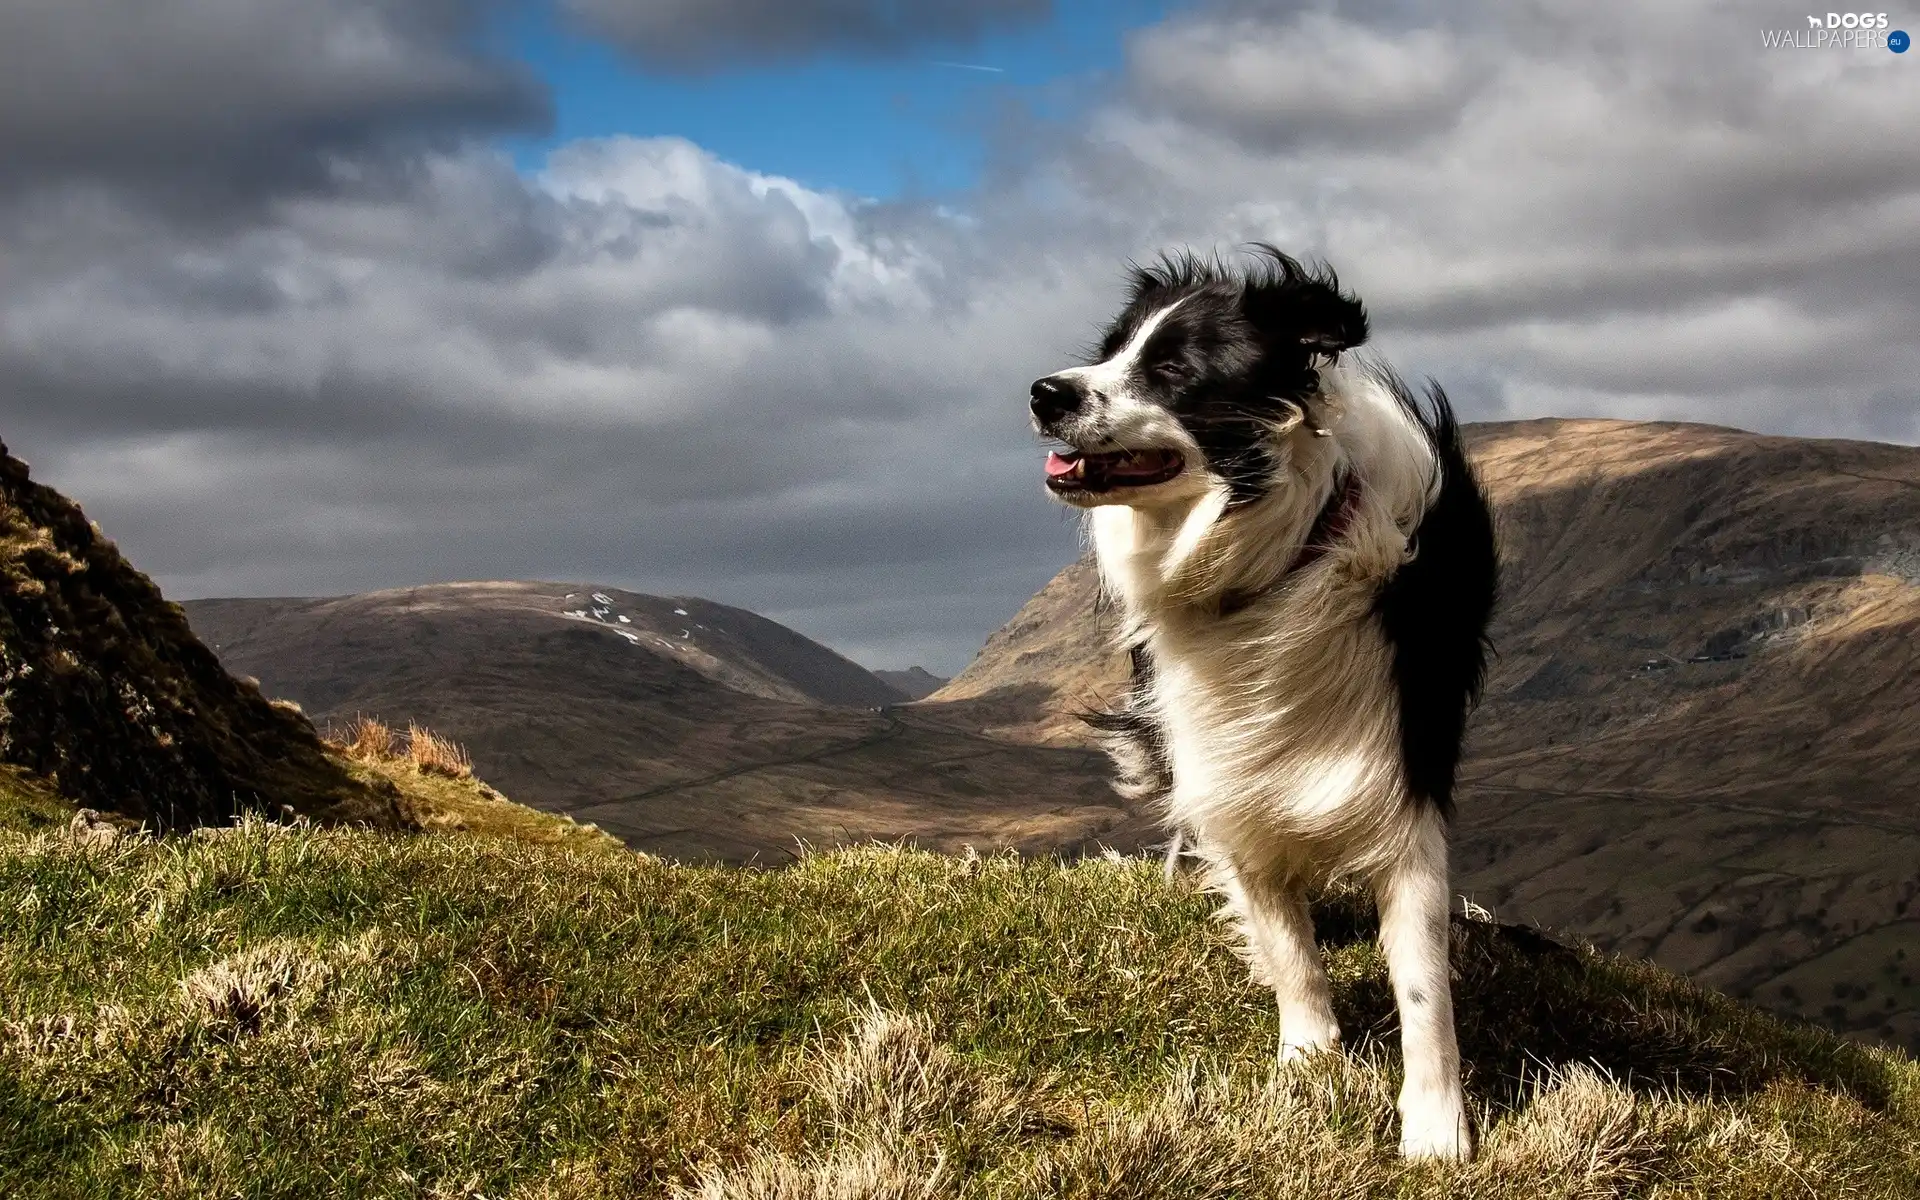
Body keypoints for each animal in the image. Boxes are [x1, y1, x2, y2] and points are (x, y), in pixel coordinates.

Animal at [1036, 247, 1497, 1159]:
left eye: (1173, 369)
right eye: (1109, 352)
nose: (1043, 393)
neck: (1282, 550)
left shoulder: (1401, 772)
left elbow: (1422, 979)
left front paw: (1435, 1127)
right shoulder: (1230, 773)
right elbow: (1286, 941)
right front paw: (1310, 1061)